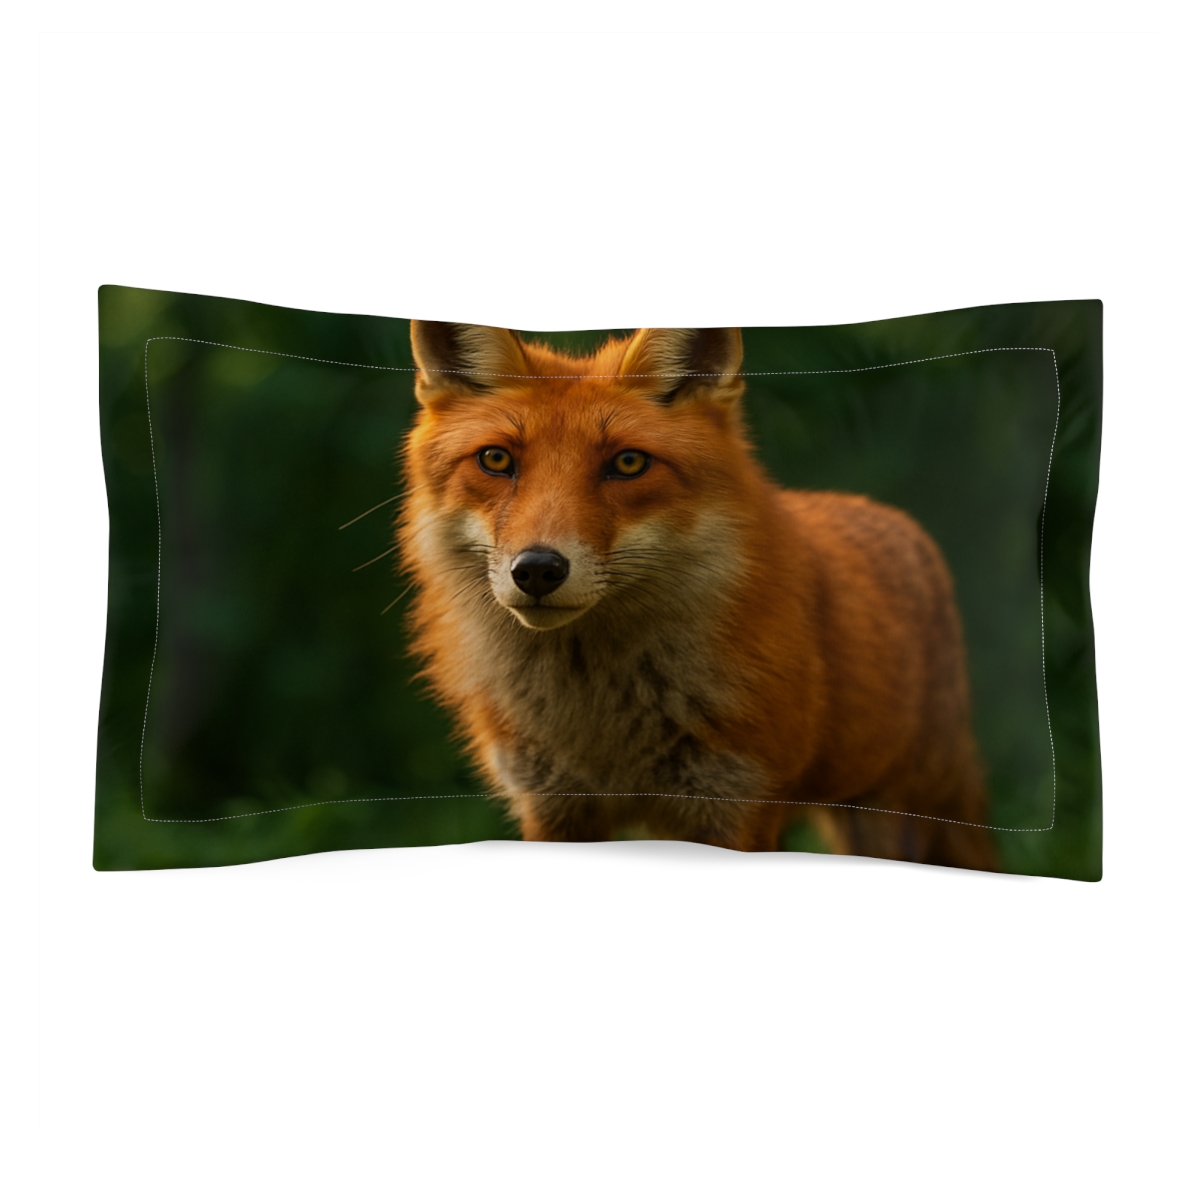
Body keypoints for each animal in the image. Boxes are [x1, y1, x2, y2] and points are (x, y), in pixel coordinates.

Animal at [398, 321, 997, 871]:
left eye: (628, 463)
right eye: (496, 460)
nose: (539, 569)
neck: (604, 724)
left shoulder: (738, 801)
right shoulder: (553, 805)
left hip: (905, 813)